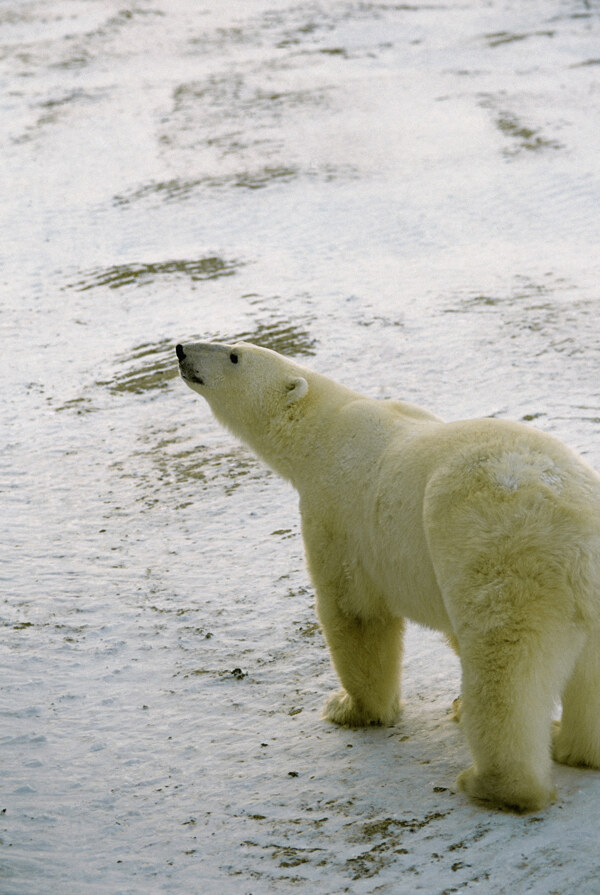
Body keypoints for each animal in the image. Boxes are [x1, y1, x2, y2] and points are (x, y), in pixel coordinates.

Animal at [175, 338, 600, 812]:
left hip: (506, 555)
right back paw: (573, 746)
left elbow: (355, 613)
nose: (181, 350)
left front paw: (349, 708)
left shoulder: (339, 514)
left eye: (234, 356)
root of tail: (580, 535)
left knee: (505, 670)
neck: (324, 430)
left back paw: (493, 783)